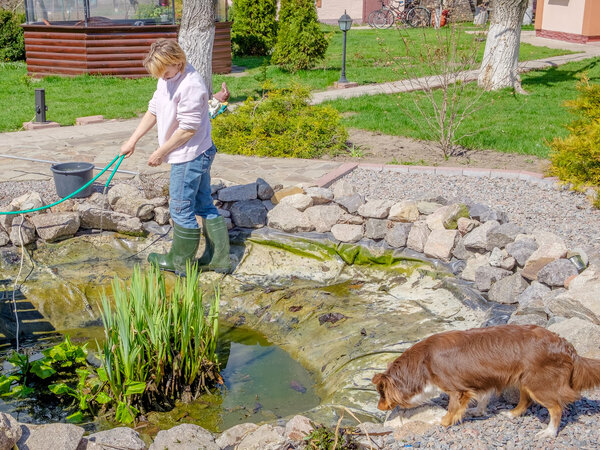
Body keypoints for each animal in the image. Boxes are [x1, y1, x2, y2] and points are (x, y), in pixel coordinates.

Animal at [370, 326, 600, 438]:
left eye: (382, 394)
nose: (378, 407)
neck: (422, 363)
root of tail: (567, 346)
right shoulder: (484, 378)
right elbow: (482, 398)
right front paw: (478, 411)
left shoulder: (457, 389)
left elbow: (452, 408)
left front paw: (443, 422)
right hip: (524, 378)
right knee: (526, 400)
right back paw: (512, 413)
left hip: (539, 383)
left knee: (556, 408)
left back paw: (549, 432)